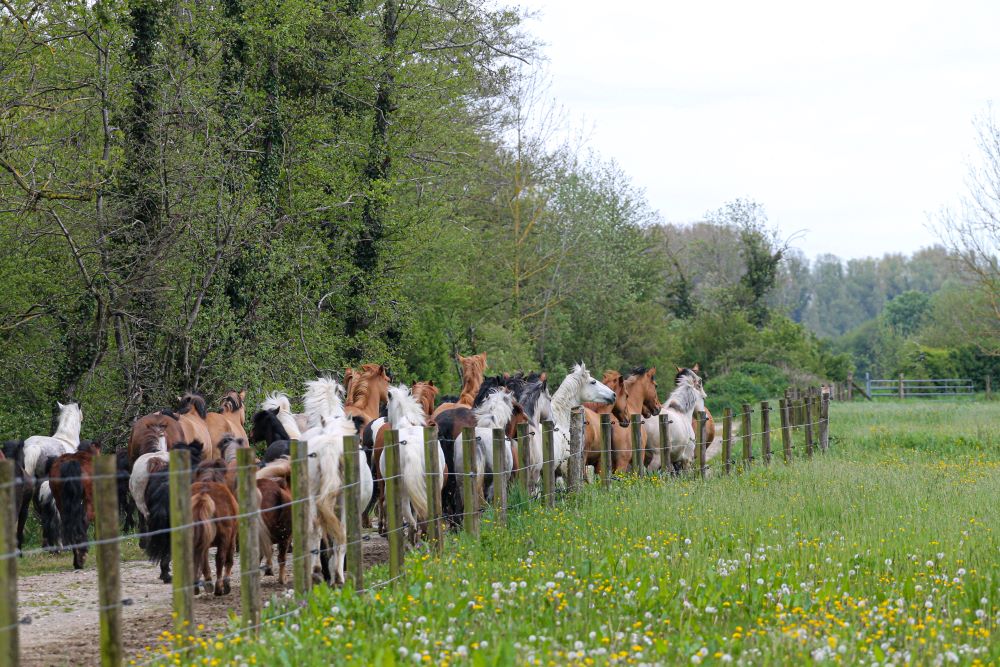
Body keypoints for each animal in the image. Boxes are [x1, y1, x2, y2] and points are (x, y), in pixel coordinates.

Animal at [378, 384, 446, 544]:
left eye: (387, 405)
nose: (384, 418)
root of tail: (412, 449)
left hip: (401, 488)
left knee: (408, 514)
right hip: (435, 483)